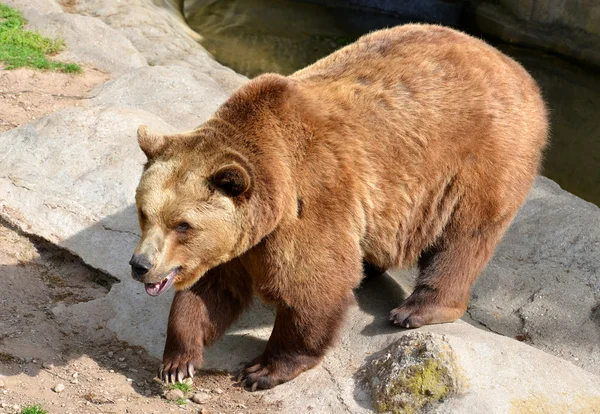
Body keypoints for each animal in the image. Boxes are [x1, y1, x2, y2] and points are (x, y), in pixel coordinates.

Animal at [131, 24, 548, 390]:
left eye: (183, 225)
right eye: (144, 213)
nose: (140, 265)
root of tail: (515, 68)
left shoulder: (309, 202)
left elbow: (314, 283)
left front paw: (263, 370)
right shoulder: (240, 240)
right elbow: (212, 290)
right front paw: (178, 361)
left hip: (479, 160)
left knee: (464, 238)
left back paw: (416, 310)